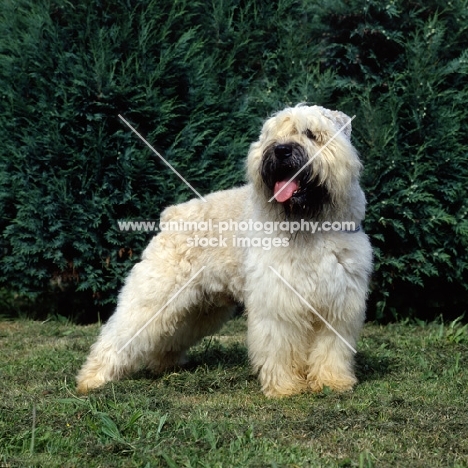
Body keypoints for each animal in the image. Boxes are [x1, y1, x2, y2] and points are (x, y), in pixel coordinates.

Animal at [75, 104, 372, 396]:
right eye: (272, 135)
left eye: (310, 133)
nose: (281, 150)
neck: (311, 223)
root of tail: (171, 215)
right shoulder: (278, 302)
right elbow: (280, 346)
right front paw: (285, 386)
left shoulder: (339, 302)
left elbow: (331, 348)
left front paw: (332, 381)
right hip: (154, 296)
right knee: (119, 334)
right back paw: (92, 379)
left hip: (197, 308)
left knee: (168, 336)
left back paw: (166, 365)